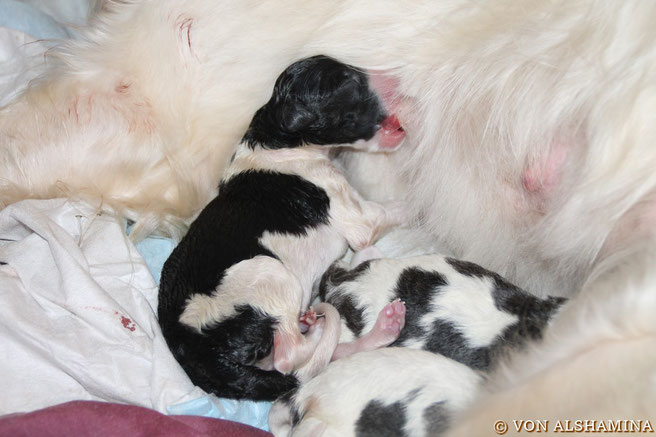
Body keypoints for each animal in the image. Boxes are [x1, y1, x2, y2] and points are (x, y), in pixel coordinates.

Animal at [157, 56, 408, 400]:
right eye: (348, 83)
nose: (397, 76)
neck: (279, 137)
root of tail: (188, 344)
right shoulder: (358, 218)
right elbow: (395, 209)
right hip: (268, 272)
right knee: (289, 358)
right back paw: (315, 325)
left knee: (322, 355)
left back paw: (380, 326)